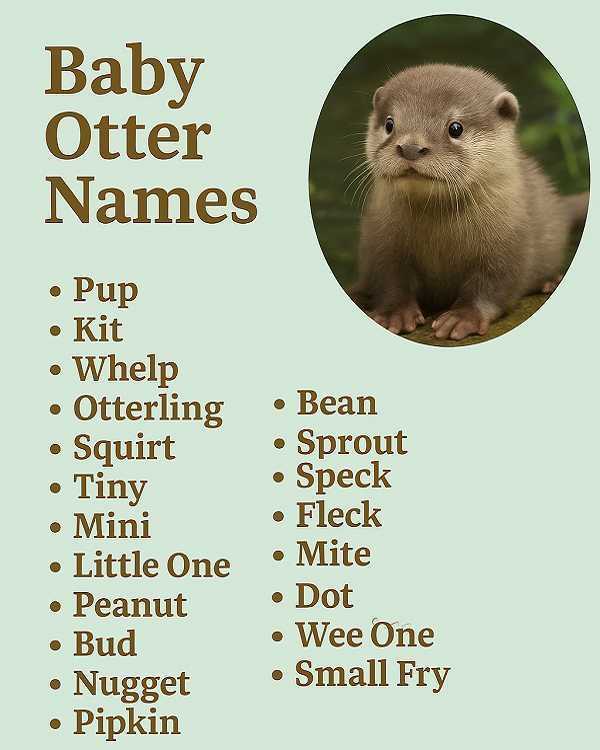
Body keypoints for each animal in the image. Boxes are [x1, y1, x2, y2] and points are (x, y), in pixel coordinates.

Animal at [350, 64, 588, 340]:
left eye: (455, 128)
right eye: (390, 123)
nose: (410, 147)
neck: (439, 241)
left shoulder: (510, 243)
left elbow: (493, 285)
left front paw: (463, 317)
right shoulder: (381, 240)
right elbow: (388, 278)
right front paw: (394, 313)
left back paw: (550, 282)